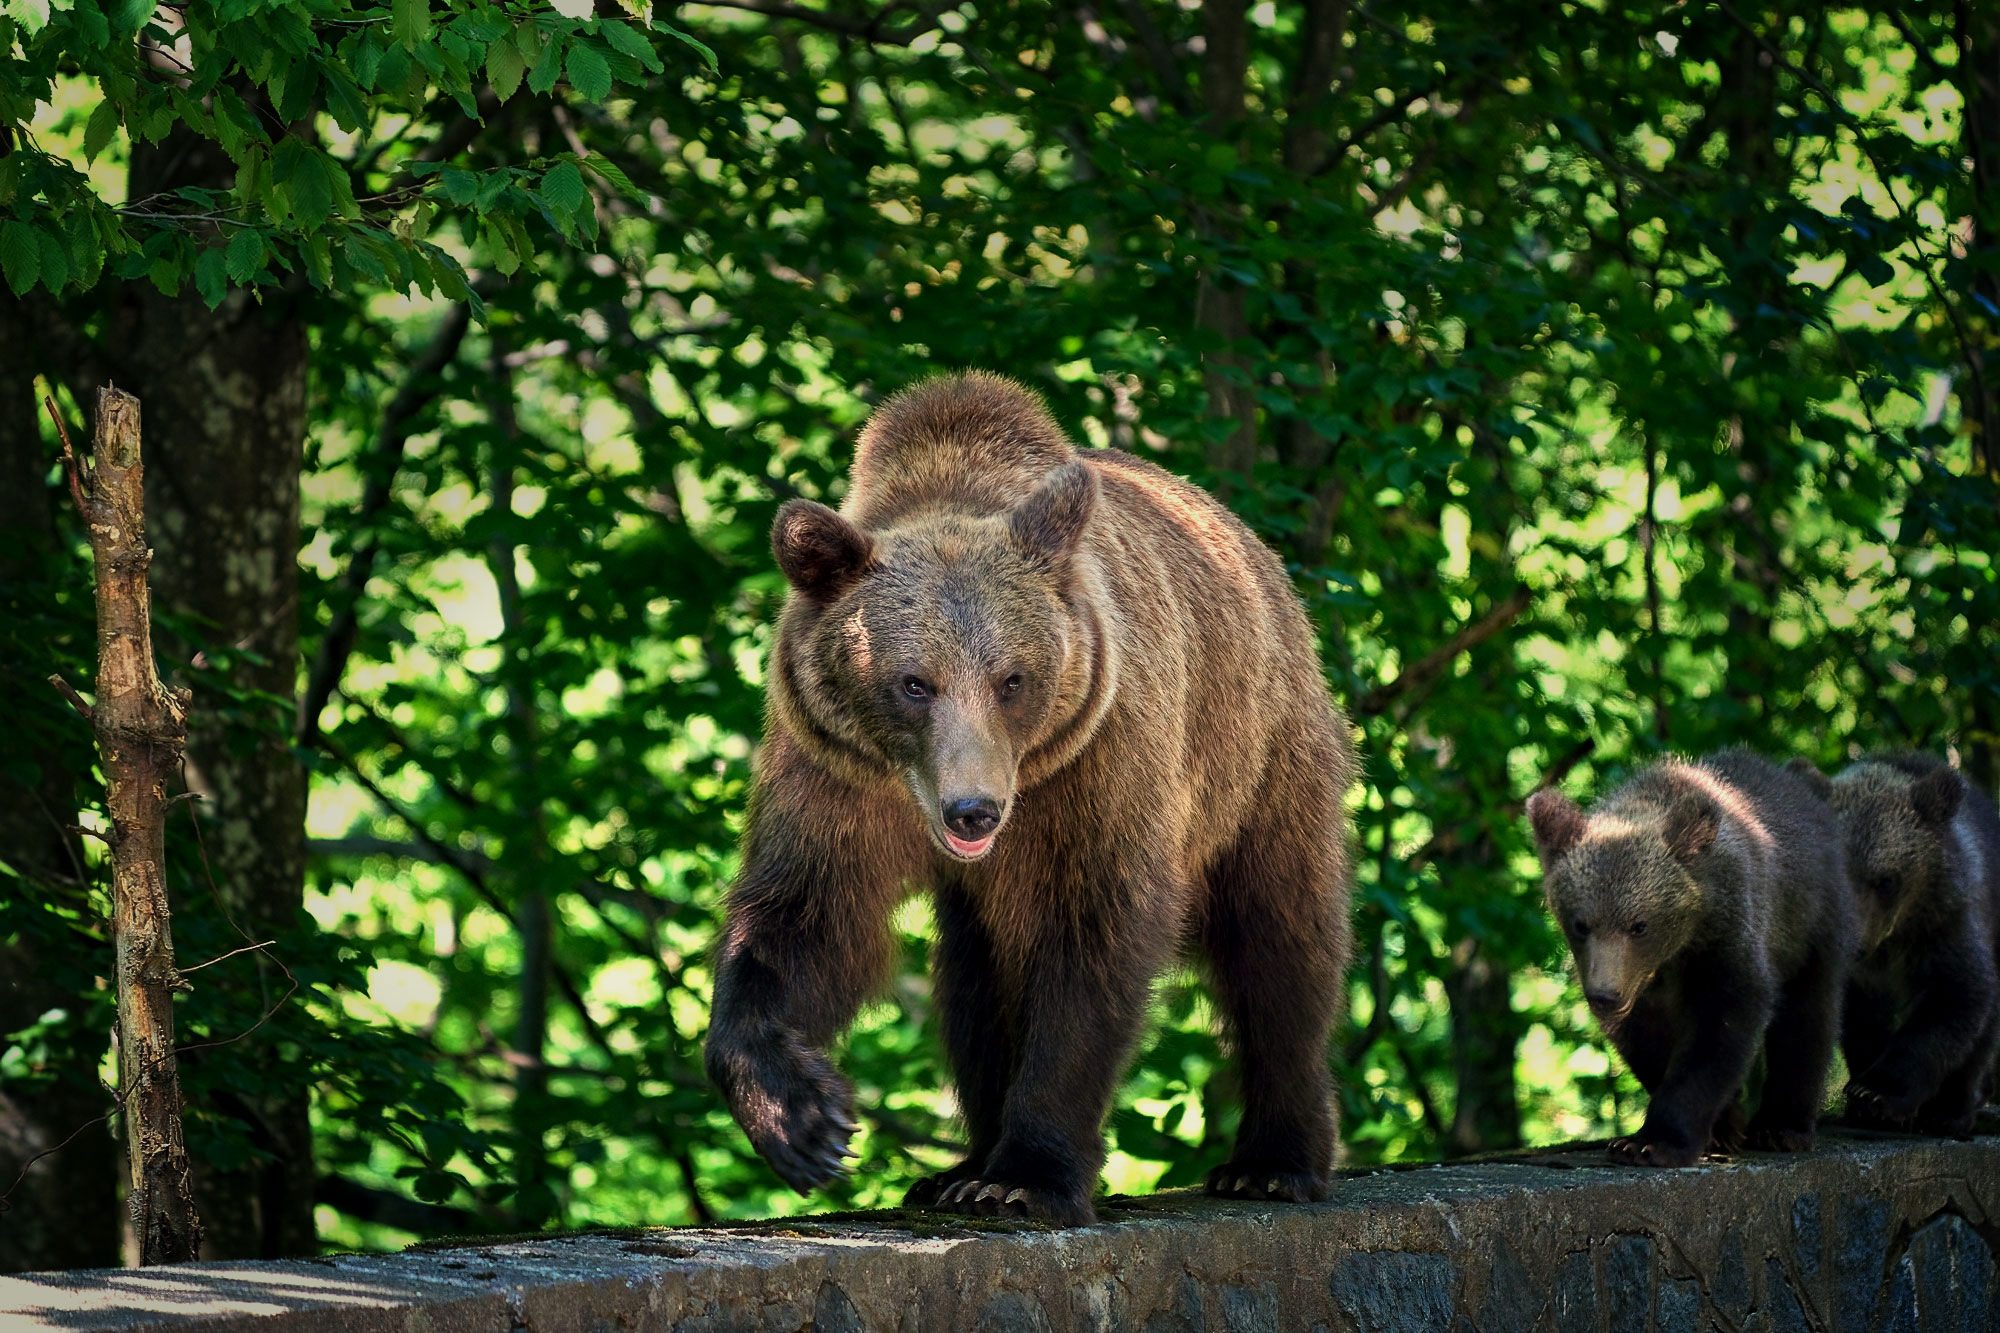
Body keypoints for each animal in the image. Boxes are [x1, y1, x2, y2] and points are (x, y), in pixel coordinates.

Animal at [704, 368, 1360, 1216]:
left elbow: (1088, 945)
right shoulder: (837, 774)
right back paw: (957, 1164)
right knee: (972, 988)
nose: (974, 809)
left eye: (1012, 678)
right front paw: (806, 1120)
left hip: (1262, 763)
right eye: (914, 682)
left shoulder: (1092, 772)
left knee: (1282, 947)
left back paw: (1273, 1159)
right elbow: (804, 919)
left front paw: (1025, 1176)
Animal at [1528, 748, 1856, 1160]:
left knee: (1809, 1015)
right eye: (1580, 924)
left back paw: (1783, 1127)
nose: (1605, 996)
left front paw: (1655, 1141)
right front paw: (1722, 1124)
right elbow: (1646, 1043)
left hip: (1813, 919)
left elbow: (1720, 1028)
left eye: (1640, 925)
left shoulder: (1727, 938)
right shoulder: (1638, 987)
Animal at [1792, 748, 2000, 1128]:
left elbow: (1955, 997)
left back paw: (1954, 1109)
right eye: (1836, 871)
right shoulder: (1858, 975)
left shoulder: (1944, 926)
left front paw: (1877, 1094)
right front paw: (1862, 1100)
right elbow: (1859, 1021)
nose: (1854, 944)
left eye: (1886, 880)